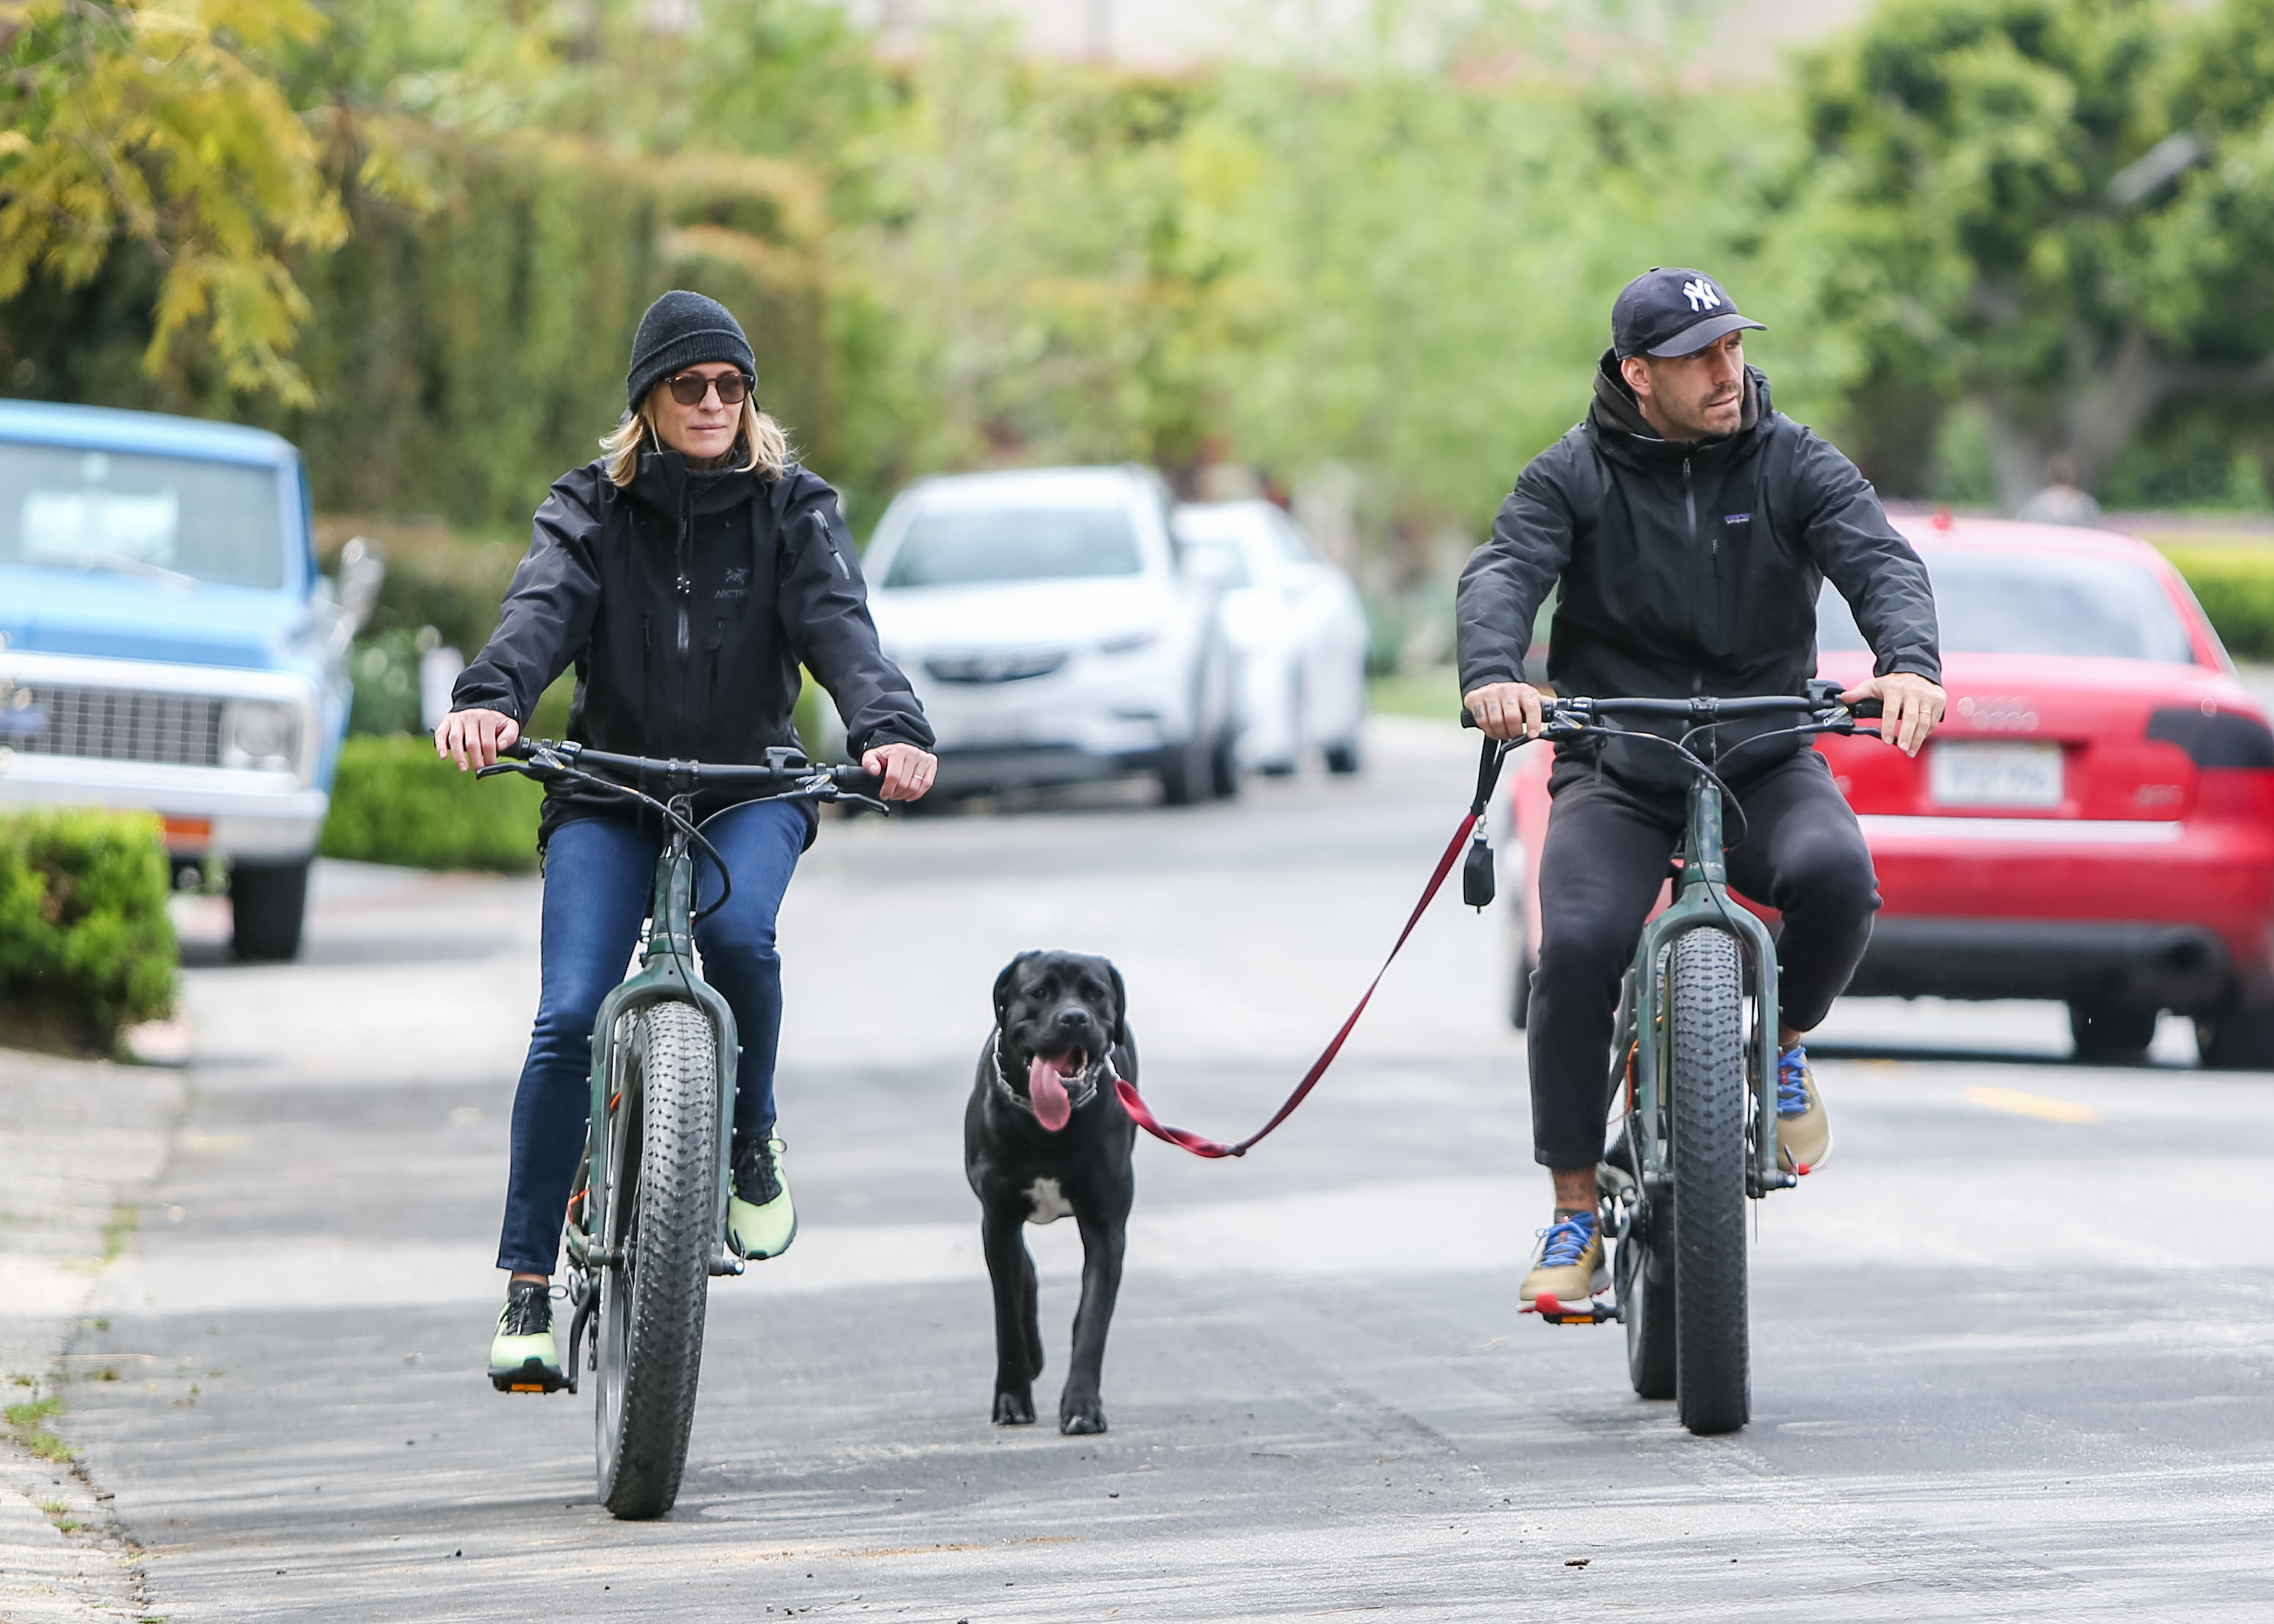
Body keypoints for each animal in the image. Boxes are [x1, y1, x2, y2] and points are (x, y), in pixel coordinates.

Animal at [964, 951, 1137, 1428]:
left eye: (1096, 994)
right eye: (1039, 993)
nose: (1074, 1017)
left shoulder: (1106, 1227)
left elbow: (1092, 1320)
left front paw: (1082, 1407)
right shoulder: (999, 1218)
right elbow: (1007, 1318)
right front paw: (1011, 1399)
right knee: (1023, 1271)